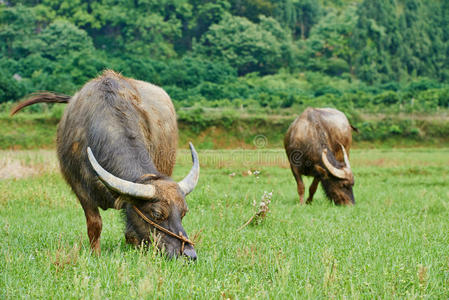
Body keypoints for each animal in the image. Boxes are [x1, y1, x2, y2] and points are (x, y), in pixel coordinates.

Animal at [10, 69, 199, 258]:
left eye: (183, 213)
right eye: (157, 213)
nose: (189, 254)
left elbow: (131, 231)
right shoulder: (80, 188)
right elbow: (95, 224)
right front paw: (96, 254)